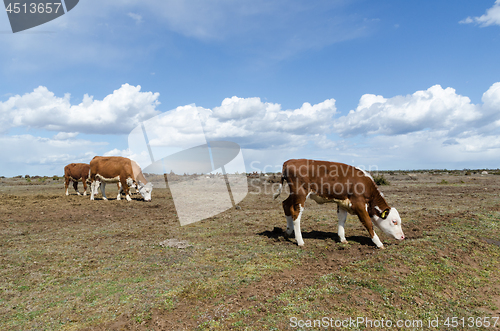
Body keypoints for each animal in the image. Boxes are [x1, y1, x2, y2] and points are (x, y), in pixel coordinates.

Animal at [272, 159, 404, 249]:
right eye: (394, 221)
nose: (403, 237)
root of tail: (289, 161)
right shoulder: (359, 205)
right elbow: (368, 223)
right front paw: (379, 243)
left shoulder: (343, 203)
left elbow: (342, 219)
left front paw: (342, 238)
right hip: (300, 195)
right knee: (296, 214)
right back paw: (300, 241)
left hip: (294, 195)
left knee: (285, 205)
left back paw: (288, 232)